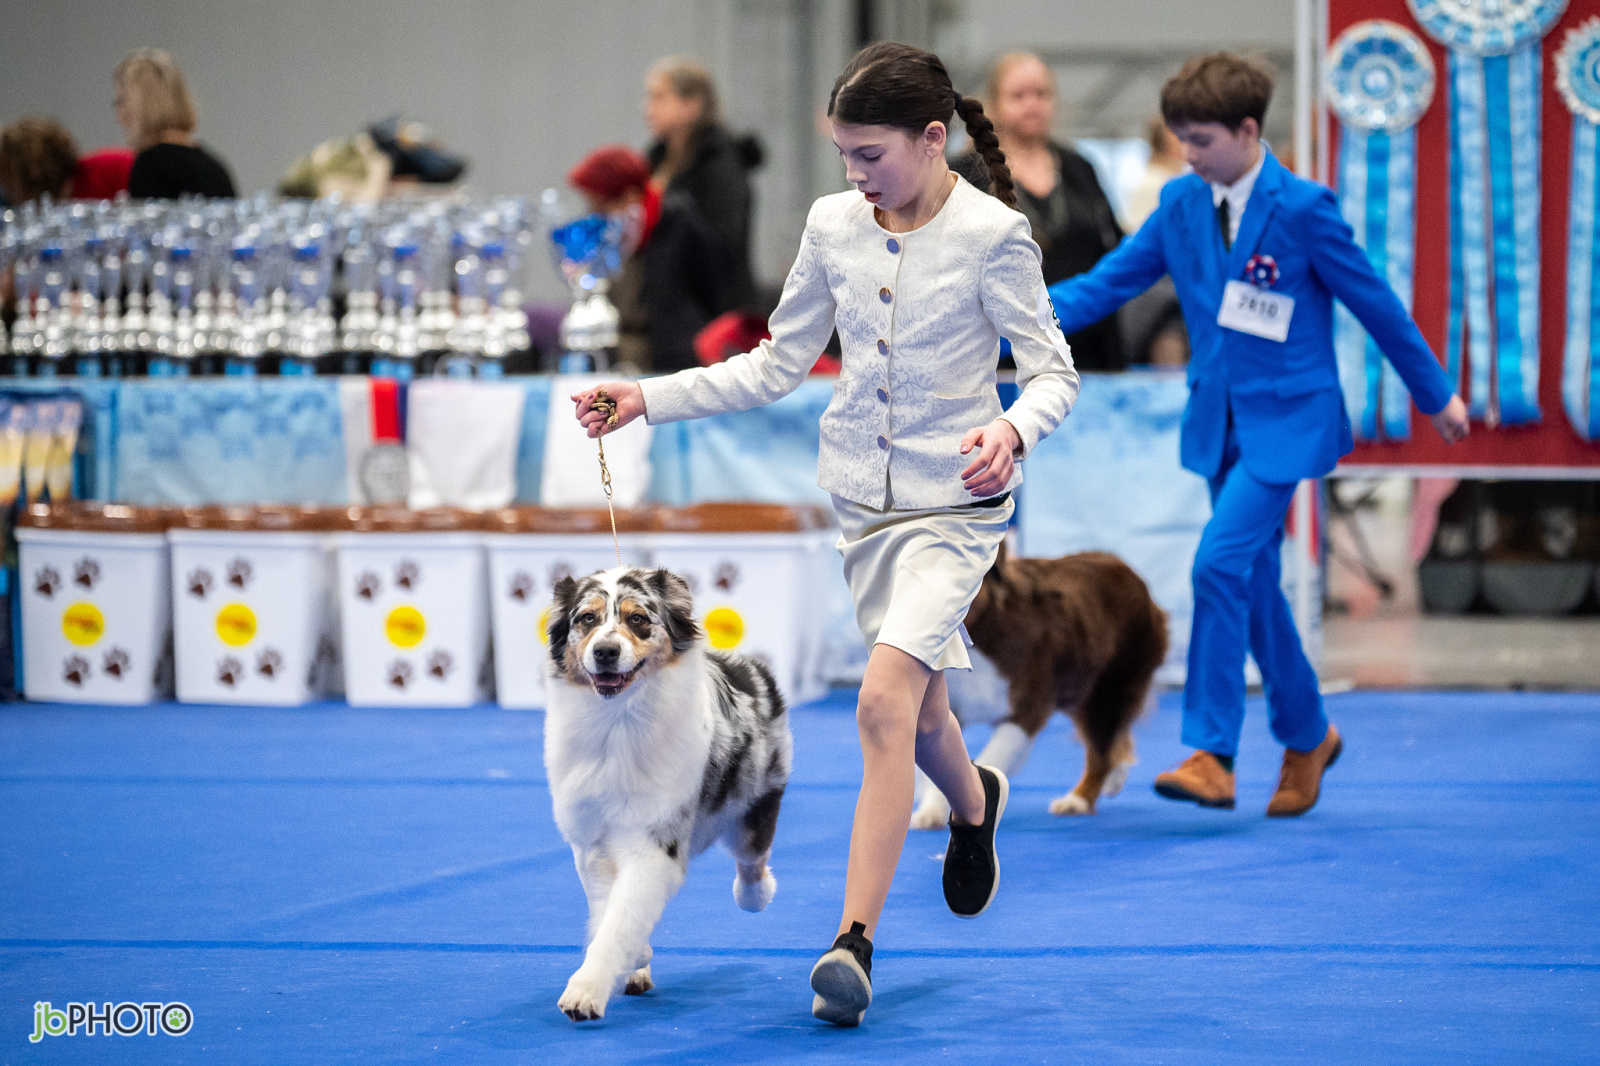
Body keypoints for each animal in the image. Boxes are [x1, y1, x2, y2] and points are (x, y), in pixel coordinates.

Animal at [544, 566, 792, 1022]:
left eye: (638, 618)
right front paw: (634, 959)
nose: (605, 652)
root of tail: (746, 665)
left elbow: (621, 918)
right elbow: (610, 912)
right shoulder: (592, 843)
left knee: (751, 860)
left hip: (757, 798)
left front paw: (584, 992)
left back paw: (757, 893)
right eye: (586, 619)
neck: (618, 721)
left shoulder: (653, 842)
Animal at [912, 546, 1168, 827]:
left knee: (1100, 749)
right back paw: (1114, 777)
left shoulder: (1029, 704)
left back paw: (1078, 800)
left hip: (1109, 685)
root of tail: (1122, 564)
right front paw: (931, 811)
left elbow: (991, 757)